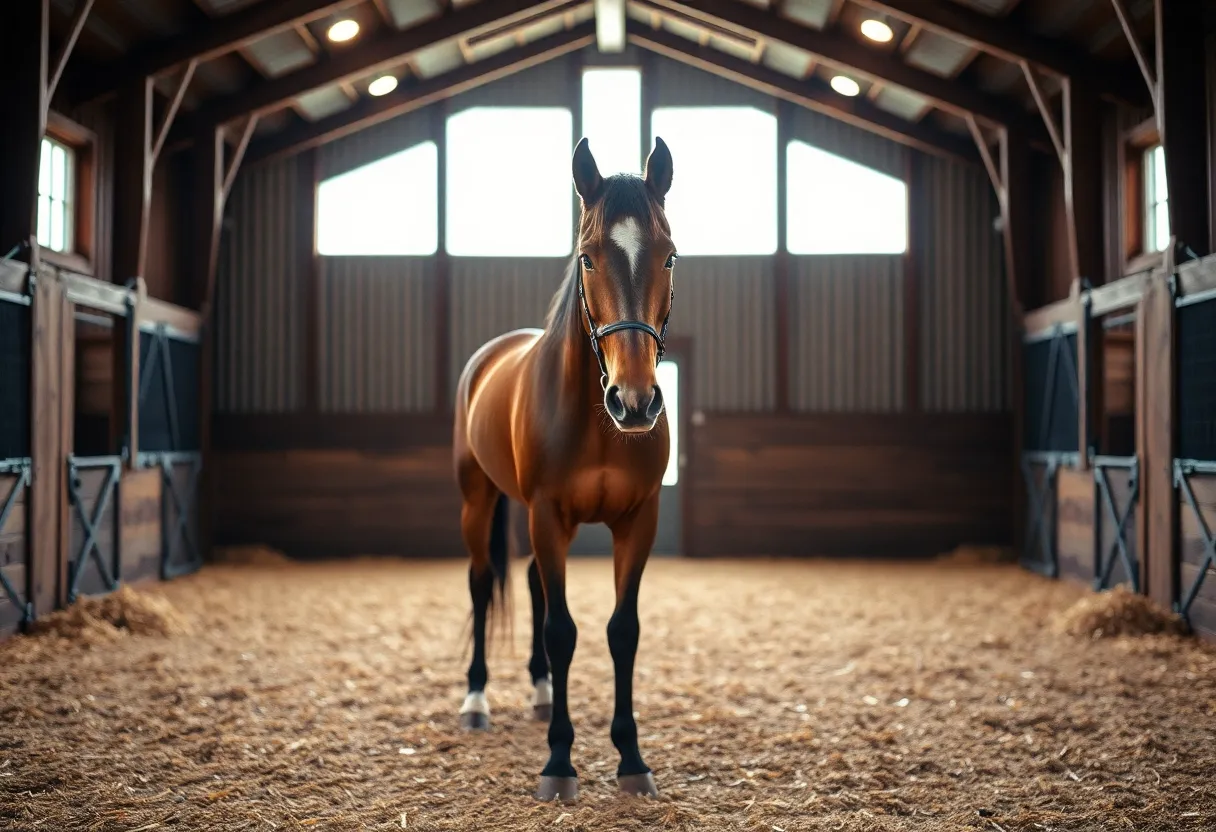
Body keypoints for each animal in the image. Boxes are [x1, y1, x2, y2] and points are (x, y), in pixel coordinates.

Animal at [451, 136, 678, 802]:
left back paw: (539, 690)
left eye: (669, 257)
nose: (635, 402)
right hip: (479, 502)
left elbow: (621, 631)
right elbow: (562, 632)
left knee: (528, 583)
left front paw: (631, 759)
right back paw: (476, 700)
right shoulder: (549, 515)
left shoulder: (637, 521)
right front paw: (559, 762)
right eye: (588, 260)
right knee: (482, 583)